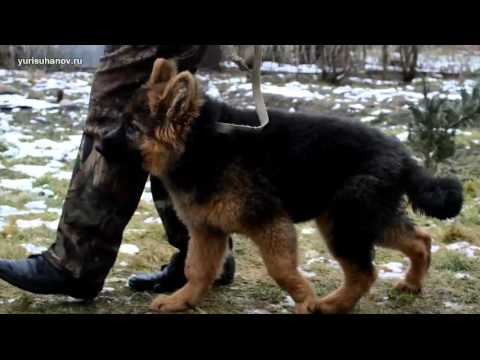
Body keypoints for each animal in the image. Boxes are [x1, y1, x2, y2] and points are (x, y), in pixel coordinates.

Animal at [124, 58, 464, 312]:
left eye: (131, 129)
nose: (105, 139)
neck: (200, 143)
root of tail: (404, 154)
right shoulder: (207, 229)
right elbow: (196, 269)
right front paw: (182, 300)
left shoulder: (271, 224)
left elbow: (281, 270)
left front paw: (306, 301)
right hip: (360, 219)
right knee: (420, 240)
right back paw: (411, 284)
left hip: (346, 222)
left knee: (365, 272)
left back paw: (330, 305)